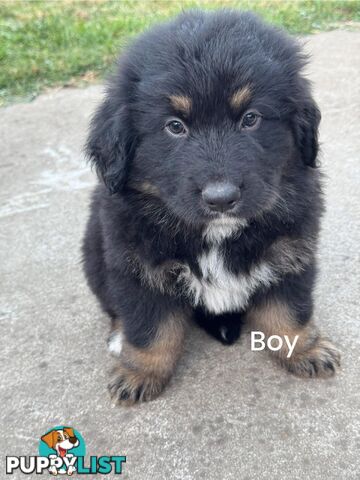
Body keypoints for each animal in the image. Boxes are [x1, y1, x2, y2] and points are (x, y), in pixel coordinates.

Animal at [83, 9, 340, 404]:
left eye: (251, 118)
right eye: (174, 126)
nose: (221, 198)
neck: (215, 234)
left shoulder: (291, 252)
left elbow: (290, 310)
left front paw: (304, 348)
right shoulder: (135, 265)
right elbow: (149, 327)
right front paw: (139, 372)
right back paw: (117, 337)